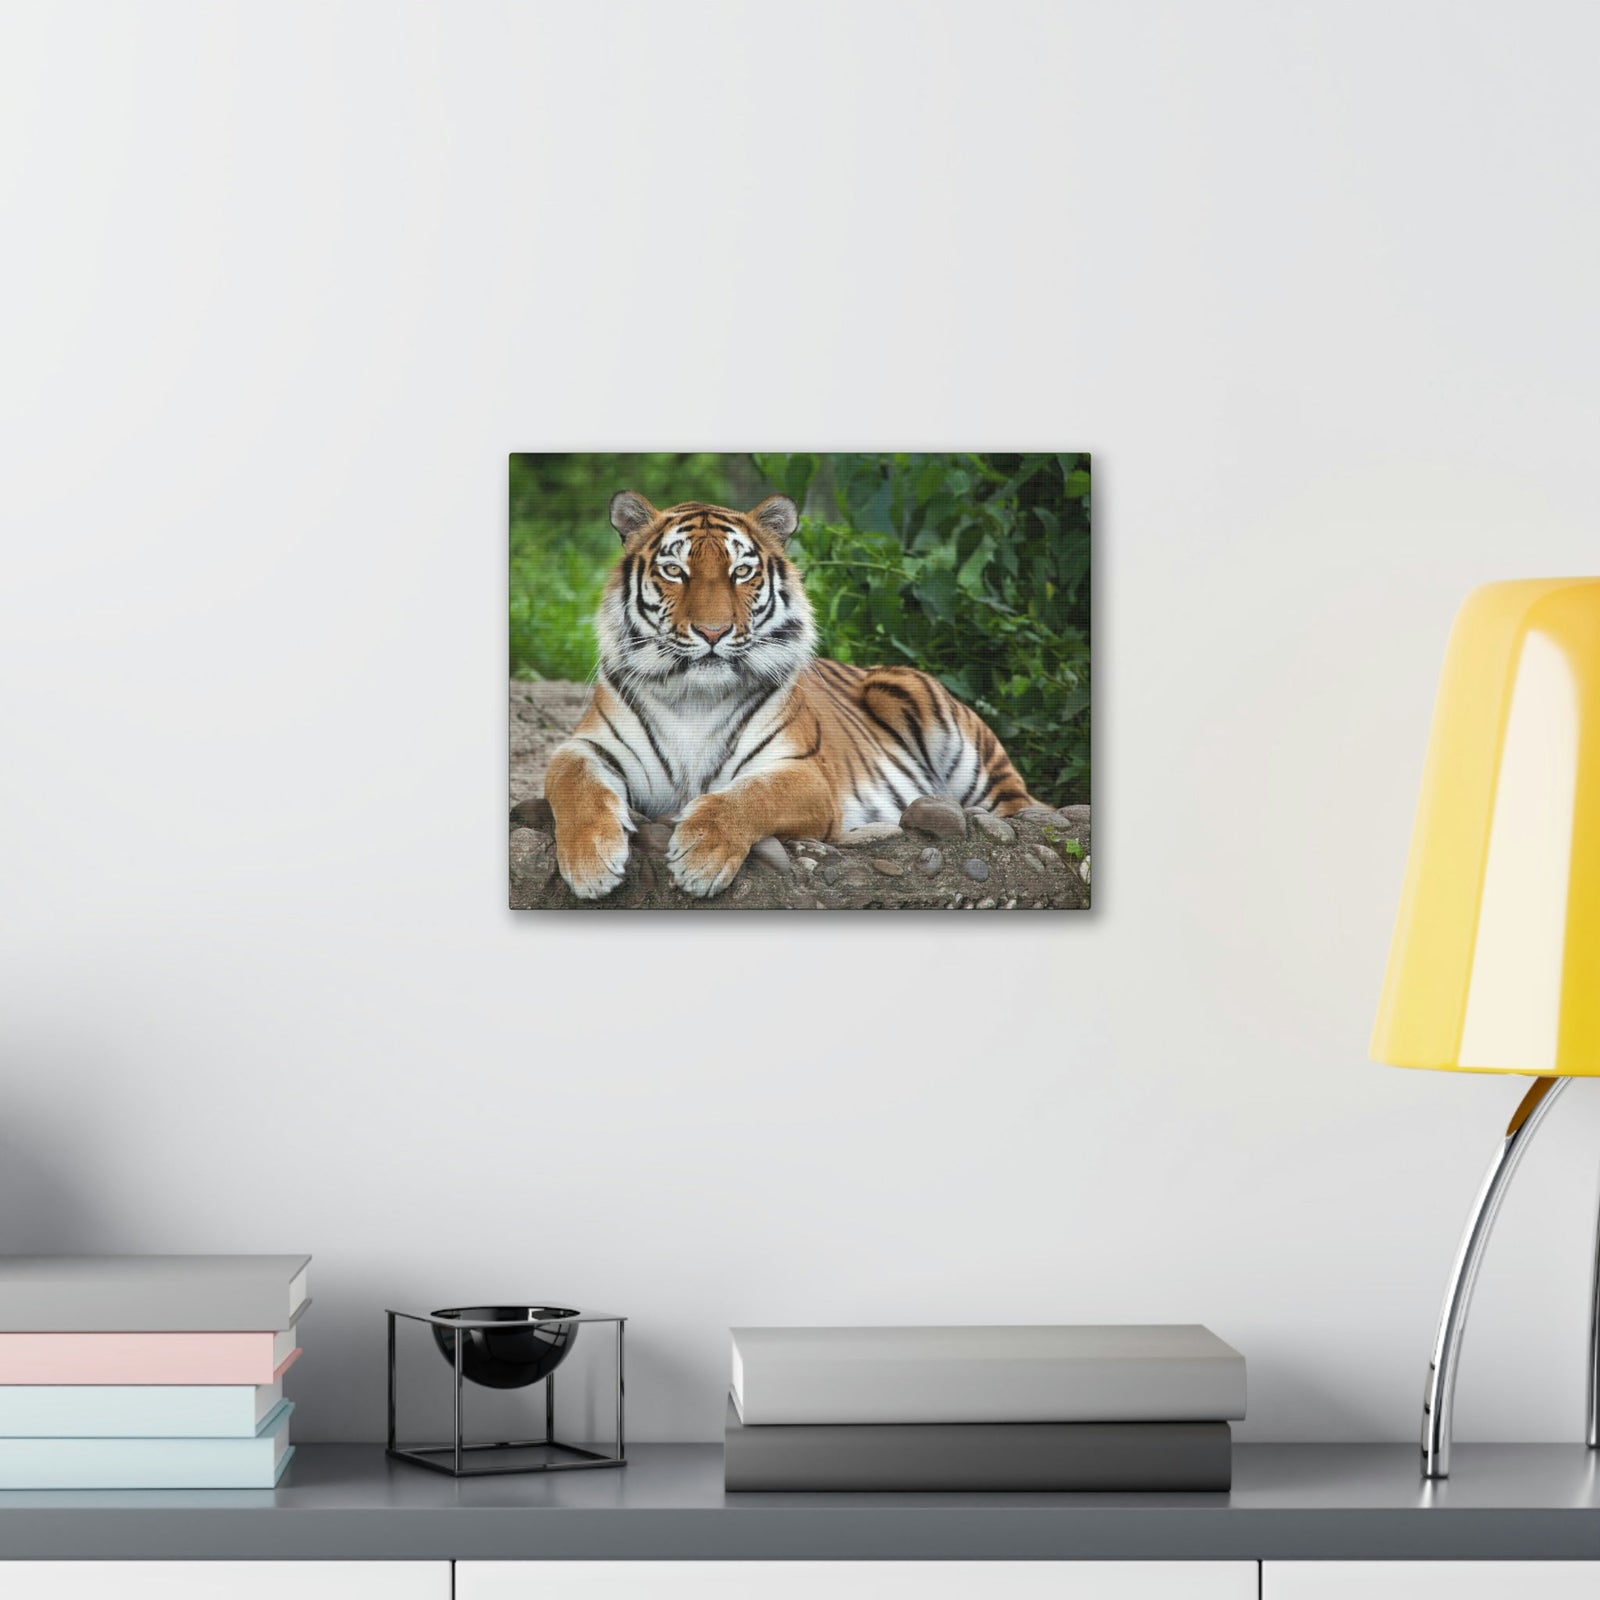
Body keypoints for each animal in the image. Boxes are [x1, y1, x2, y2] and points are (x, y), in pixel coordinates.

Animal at [544, 490, 1043, 899]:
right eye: (674, 571)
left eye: (741, 572)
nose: (712, 632)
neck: (694, 698)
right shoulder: (588, 746)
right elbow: (572, 780)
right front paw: (591, 863)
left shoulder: (805, 774)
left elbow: (749, 797)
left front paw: (700, 857)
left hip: (931, 714)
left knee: (1019, 807)